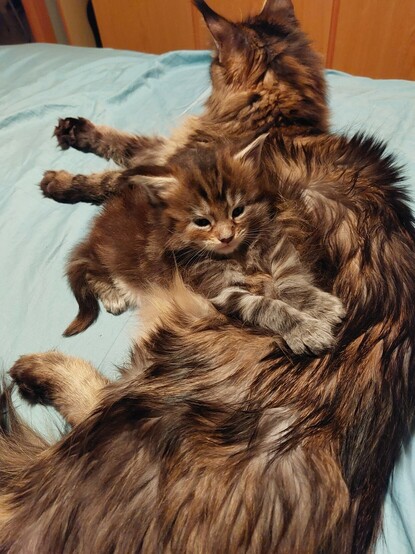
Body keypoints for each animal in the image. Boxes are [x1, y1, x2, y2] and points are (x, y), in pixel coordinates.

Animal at [39, 0, 328, 206]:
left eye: (213, 62)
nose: (209, 65)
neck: (274, 117)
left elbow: (109, 178)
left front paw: (59, 182)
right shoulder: (165, 150)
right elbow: (121, 141)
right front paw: (75, 130)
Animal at [63, 136, 344, 355]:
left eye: (238, 211)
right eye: (201, 222)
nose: (226, 236)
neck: (237, 254)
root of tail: (97, 227)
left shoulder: (277, 244)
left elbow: (290, 282)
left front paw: (320, 305)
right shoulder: (218, 289)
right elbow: (265, 306)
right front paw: (305, 330)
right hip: (110, 259)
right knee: (91, 271)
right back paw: (111, 295)